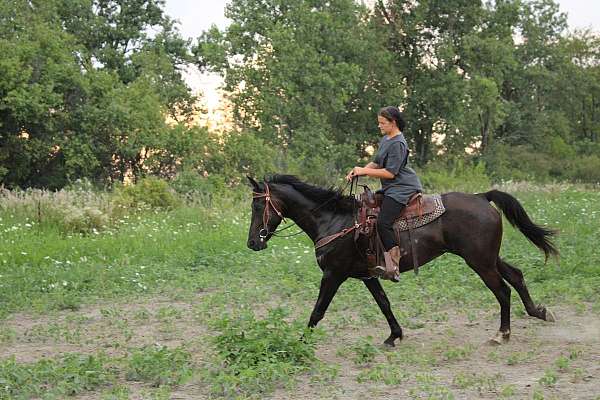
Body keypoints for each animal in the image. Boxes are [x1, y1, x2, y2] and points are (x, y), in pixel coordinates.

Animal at [245, 175, 556, 346]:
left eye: (258, 205)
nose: (252, 243)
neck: (333, 220)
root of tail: (482, 197)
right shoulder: (368, 275)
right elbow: (384, 304)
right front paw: (394, 335)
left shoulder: (333, 274)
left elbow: (317, 311)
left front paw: (301, 344)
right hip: (488, 257)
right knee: (516, 275)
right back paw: (539, 312)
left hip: (479, 261)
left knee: (502, 290)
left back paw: (501, 334)